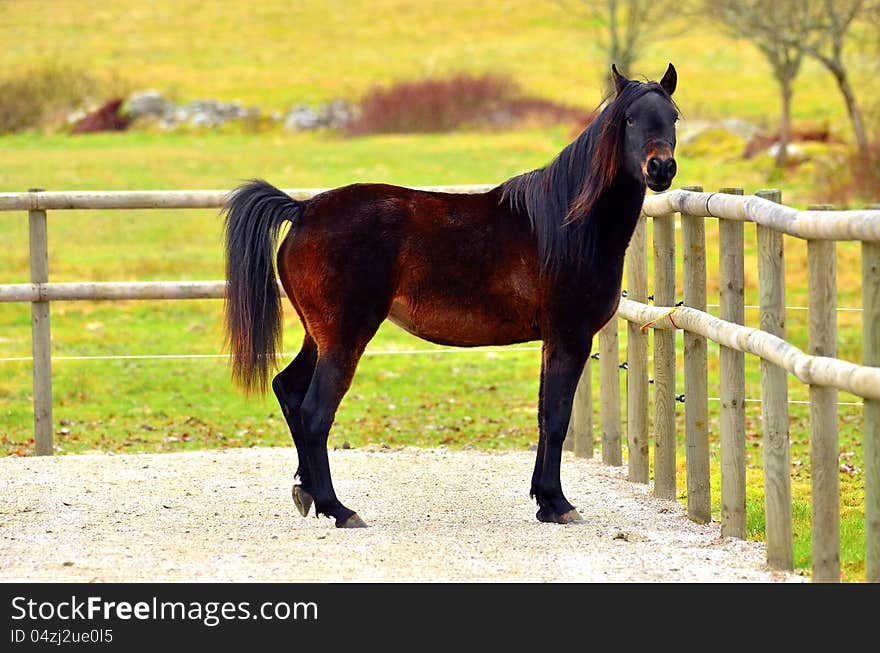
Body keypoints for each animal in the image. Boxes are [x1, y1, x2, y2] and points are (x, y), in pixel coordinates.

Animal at [223, 65, 676, 524]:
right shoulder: (570, 338)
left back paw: (308, 492)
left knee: (289, 390)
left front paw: (544, 501)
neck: (569, 223)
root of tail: (303, 211)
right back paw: (338, 508)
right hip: (344, 337)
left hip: (319, 336)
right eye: (630, 119)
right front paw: (558, 503)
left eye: (672, 117)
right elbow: (556, 418)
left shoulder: (553, 341)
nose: (661, 168)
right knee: (315, 413)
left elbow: (544, 415)